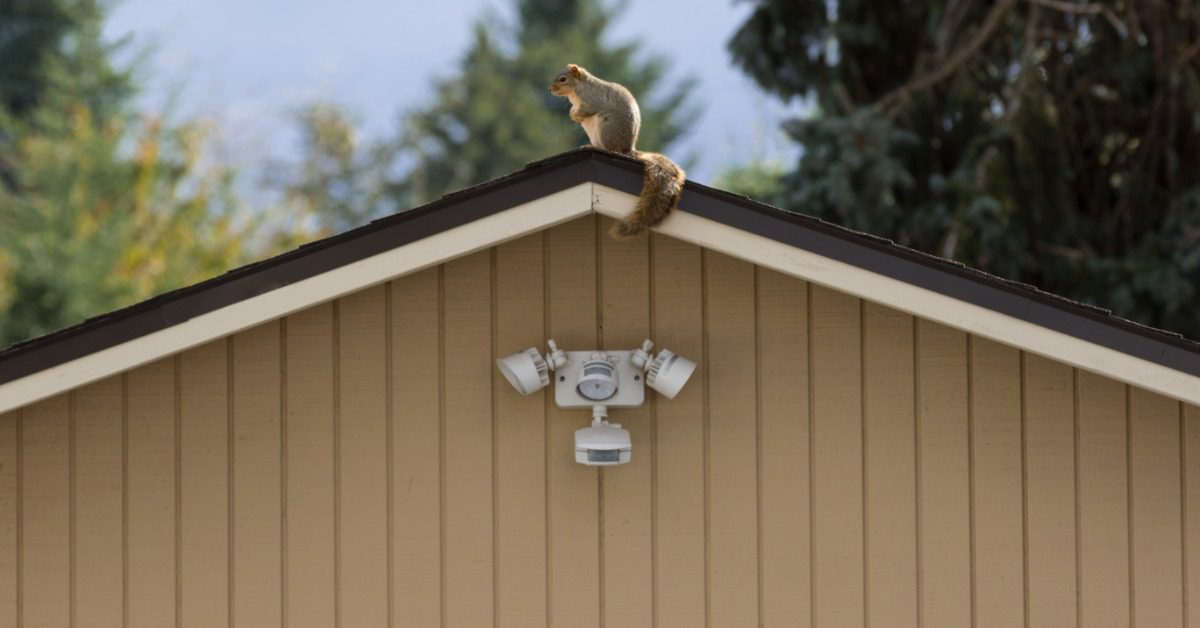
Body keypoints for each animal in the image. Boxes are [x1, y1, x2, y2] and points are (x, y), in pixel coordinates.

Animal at [549, 63, 686, 238]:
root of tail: (627, 149)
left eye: (563, 79)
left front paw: (575, 115)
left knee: (609, 148)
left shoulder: (592, 99)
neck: (577, 90)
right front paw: (573, 114)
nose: (550, 88)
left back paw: (593, 147)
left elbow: (586, 109)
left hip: (605, 130)